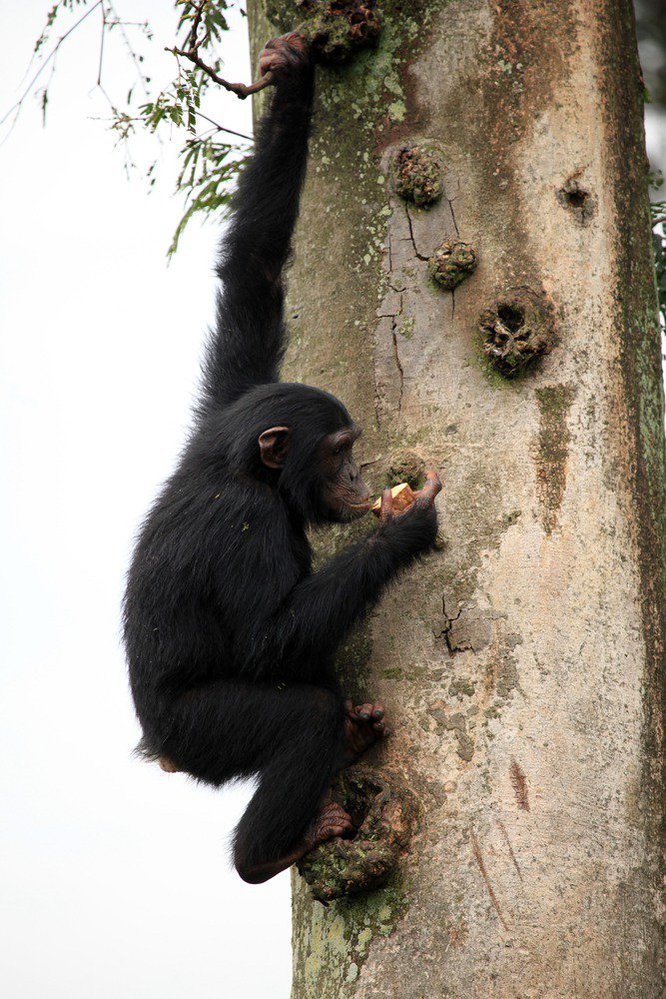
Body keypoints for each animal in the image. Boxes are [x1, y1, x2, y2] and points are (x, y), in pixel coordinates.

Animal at [123, 35, 440, 888]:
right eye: (340, 452)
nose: (361, 476)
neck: (247, 471)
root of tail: (157, 749)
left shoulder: (229, 397)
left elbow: (254, 270)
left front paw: (294, 81)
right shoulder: (245, 524)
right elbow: (269, 638)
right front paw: (402, 532)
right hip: (203, 733)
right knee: (299, 714)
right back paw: (267, 850)